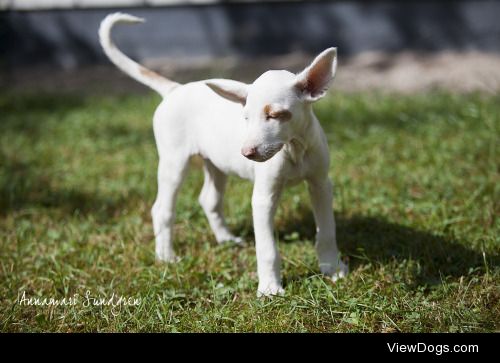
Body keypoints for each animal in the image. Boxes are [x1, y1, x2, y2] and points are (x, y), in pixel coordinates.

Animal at [97, 12, 348, 298]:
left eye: (275, 115)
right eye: (246, 117)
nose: (247, 152)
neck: (293, 148)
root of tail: (175, 89)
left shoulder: (321, 184)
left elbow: (327, 231)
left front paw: (332, 269)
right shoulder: (263, 197)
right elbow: (267, 248)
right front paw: (270, 289)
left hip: (215, 164)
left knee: (209, 200)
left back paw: (225, 239)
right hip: (174, 163)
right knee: (161, 209)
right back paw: (166, 257)